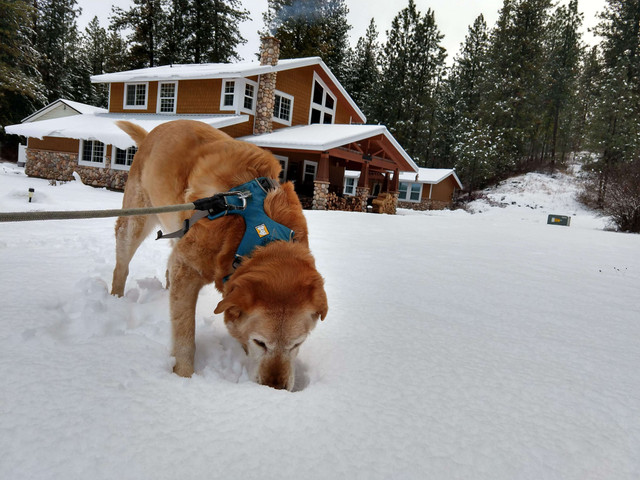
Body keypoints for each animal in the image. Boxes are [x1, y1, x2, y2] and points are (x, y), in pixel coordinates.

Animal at [110, 120, 328, 390]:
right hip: (136, 221)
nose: (274, 390)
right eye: (260, 343)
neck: (259, 233)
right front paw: (184, 376)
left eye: (297, 344)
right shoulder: (188, 268)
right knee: (122, 265)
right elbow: (185, 334)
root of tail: (153, 132)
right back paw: (115, 299)